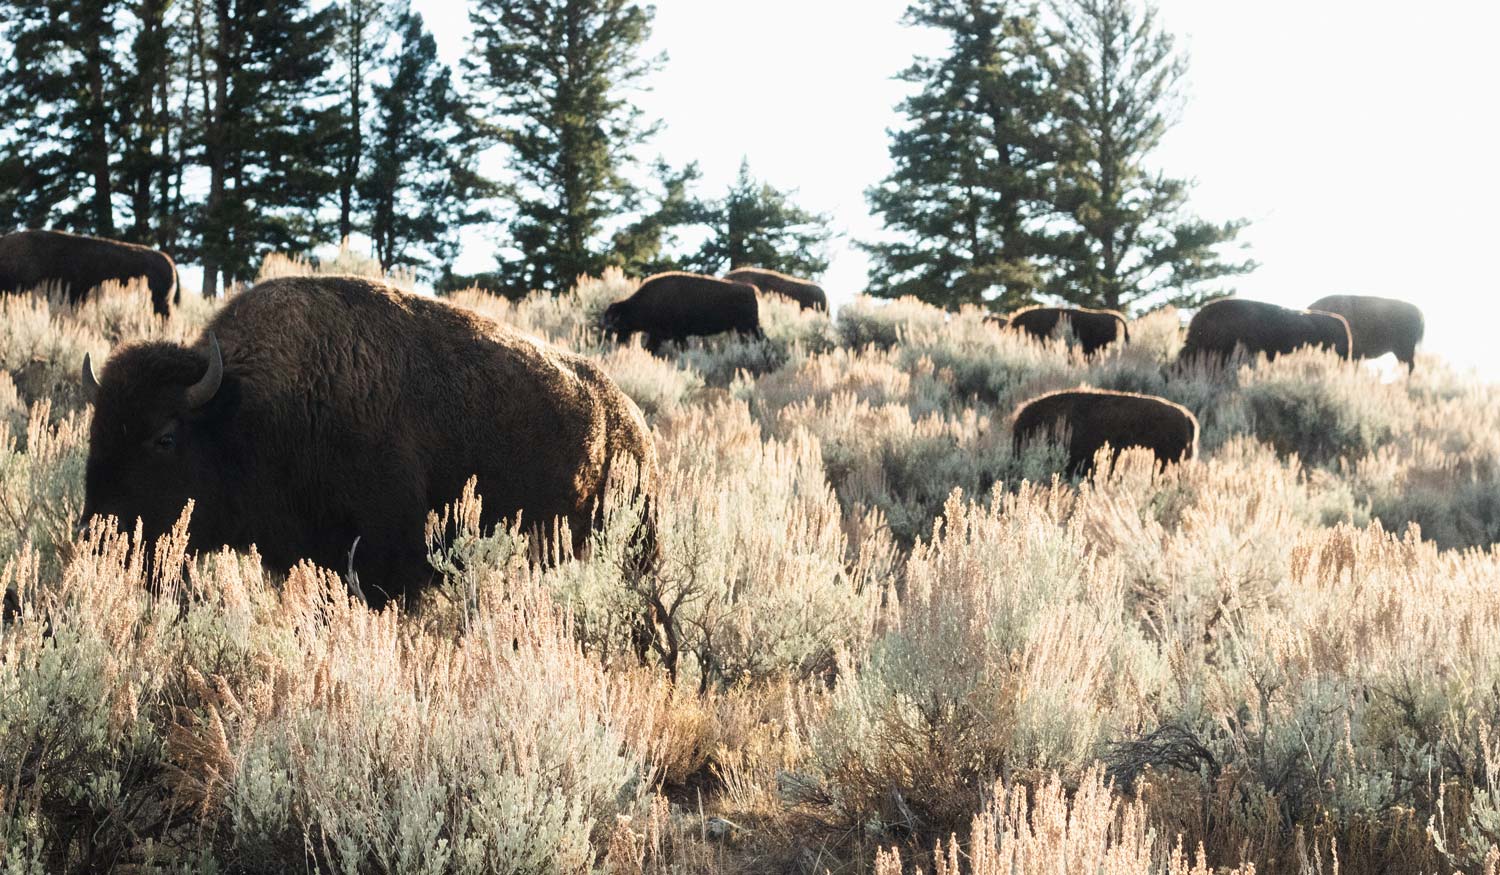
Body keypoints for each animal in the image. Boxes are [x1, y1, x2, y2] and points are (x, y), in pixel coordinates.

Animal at [80, 274, 658, 608]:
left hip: (636, 548)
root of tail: (634, 426)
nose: (97, 537)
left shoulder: (387, 564)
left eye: (165, 437)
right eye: (96, 430)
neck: (245, 408)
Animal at [603, 272, 763, 354]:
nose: (617, 342)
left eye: (617, 320)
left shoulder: (670, 335)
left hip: (747, 327)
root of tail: (751, 290)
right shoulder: (667, 336)